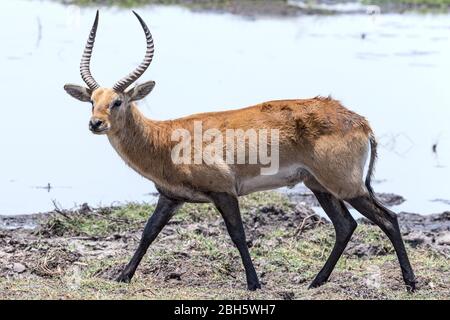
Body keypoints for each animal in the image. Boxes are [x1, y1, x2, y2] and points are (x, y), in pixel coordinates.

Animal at [64, 11, 418, 292]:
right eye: (92, 100)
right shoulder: (170, 197)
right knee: (346, 226)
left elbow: (237, 234)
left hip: (345, 186)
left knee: (388, 218)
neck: (165, 139)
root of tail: (360, 121)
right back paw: (315, 282)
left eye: (117, 101)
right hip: (319, 185)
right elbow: (148, 233)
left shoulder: (224, 192)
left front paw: (254, 283)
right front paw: (122, 277)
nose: (95, 123)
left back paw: (411, 283)